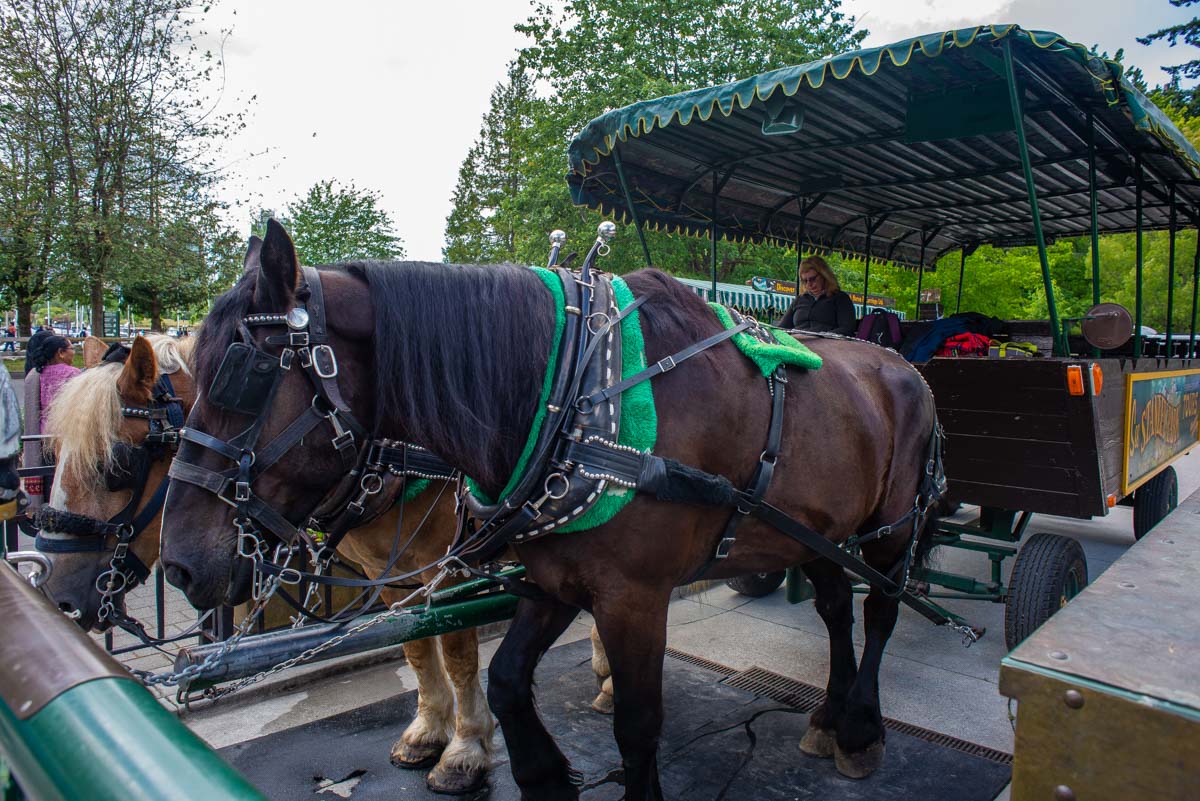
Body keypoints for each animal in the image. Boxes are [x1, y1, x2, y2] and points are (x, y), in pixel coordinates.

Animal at [33, 332, 494, 794]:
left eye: (116, 466)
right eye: (55, 453)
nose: (58, 597)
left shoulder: (445, 566)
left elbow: (457, 652)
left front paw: (465, 750)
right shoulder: (388, 572)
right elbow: (416, 643)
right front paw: (427, 732)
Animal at [161, 221, 941, 801]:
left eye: (243, 373)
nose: (177, 565)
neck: (572, 390)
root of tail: (899, 365)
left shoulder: (633, 595)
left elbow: (637, 722)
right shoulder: (552, 575)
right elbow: (506, 679)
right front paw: (540, 774)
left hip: (891, 529)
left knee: (880, 612)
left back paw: (862, 728)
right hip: (819, 531)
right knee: (836, 609)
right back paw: (830, 716)